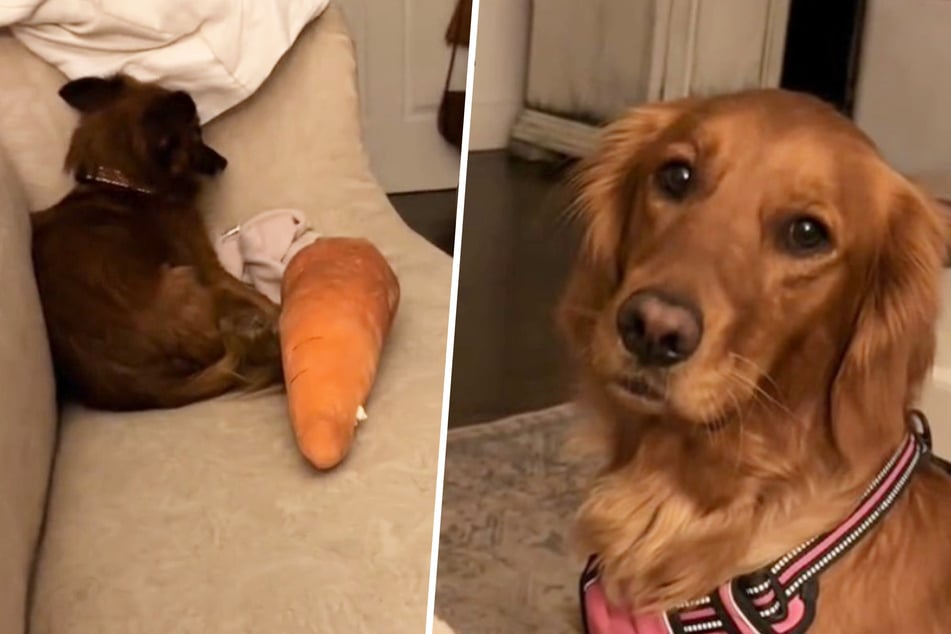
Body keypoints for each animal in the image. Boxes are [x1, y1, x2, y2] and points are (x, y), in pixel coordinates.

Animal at [32, 75, 282, 410]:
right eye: (196, 133)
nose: (224, 162)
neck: (123, 181)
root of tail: (145, 388)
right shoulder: (207, 263)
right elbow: (257, 295)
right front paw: (279, 312)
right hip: (185, 278)